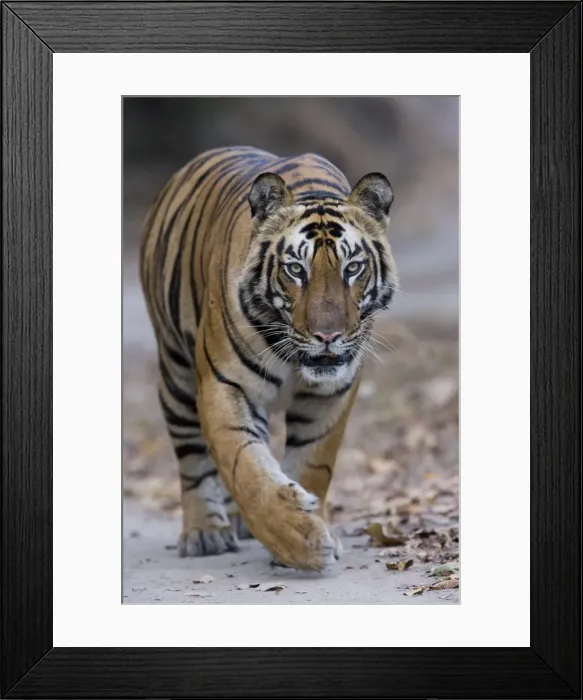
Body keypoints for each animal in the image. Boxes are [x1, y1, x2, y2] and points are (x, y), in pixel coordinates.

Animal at [140, 146, 398, 571]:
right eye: (295, 269)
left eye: (352, 268)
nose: (328, 336)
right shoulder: (223, 384)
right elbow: (243, 466)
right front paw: (300, 540)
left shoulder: (332, 393)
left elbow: (313, 464)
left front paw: (311, 526)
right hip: (176, 374)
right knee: (191, 456)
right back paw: (205, 532)